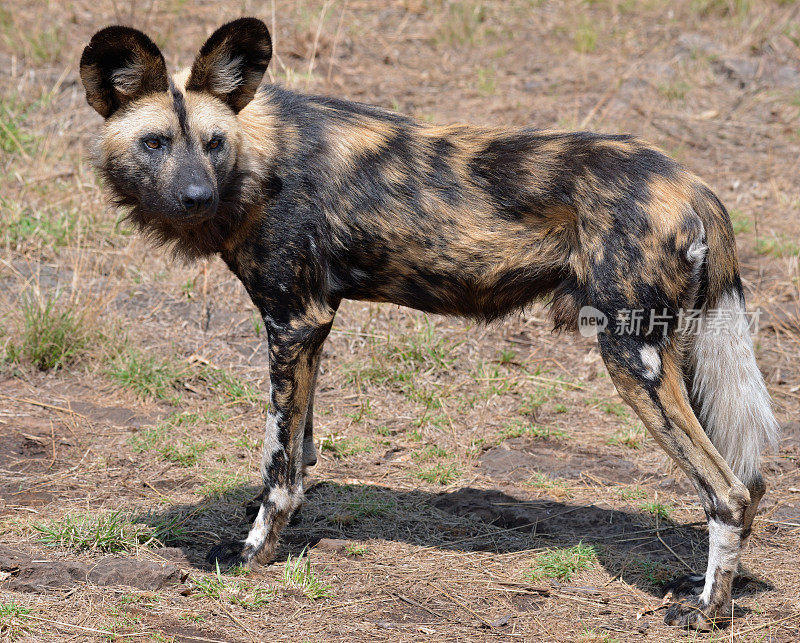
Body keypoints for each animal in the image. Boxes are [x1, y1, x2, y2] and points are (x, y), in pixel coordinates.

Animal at [83, 18, 780, 628]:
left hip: (631, 357)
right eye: (155, 143)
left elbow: (276, 465)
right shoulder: (310, 328)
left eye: (213, 143)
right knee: (751, 483)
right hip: (675, 352)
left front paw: (254, 553)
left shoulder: (291, 322)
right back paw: (701, 586)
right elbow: (302, 452)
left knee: (728, 493)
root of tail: (694, 186)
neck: (257, 156)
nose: (195, 197)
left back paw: (705, 611)